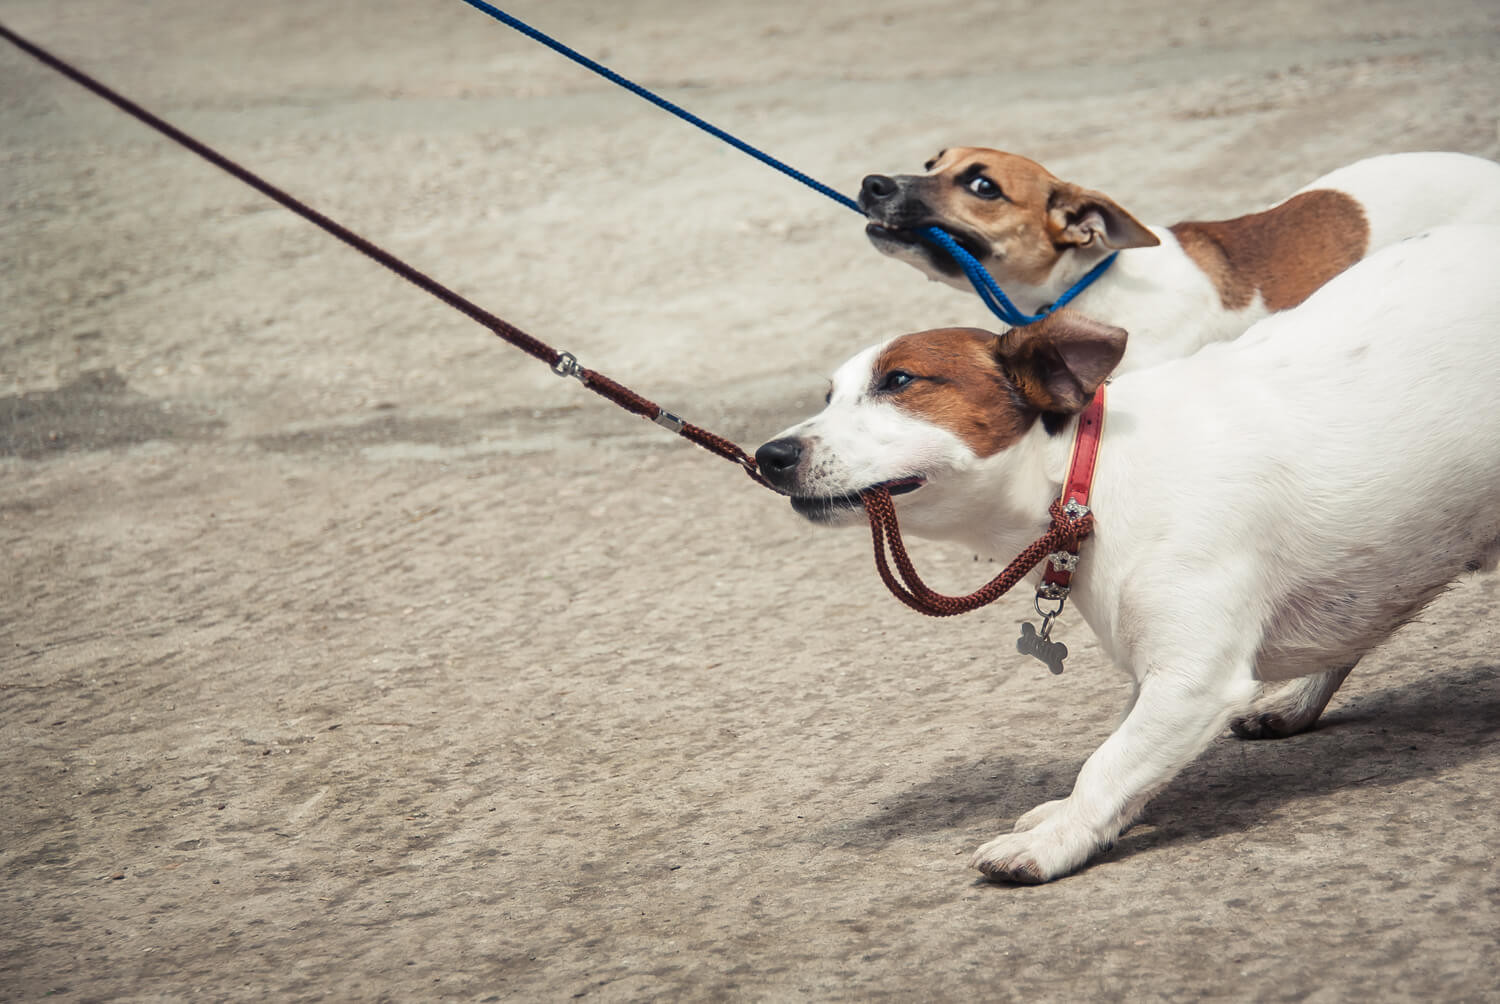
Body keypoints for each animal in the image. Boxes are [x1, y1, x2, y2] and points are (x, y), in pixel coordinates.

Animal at [756, 225, 1500, 876]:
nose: (770, 455)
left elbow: (1108, 763)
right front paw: (1073, 818)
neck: (1089, 476)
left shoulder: (1192, 677)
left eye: (901, 382)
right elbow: (1124, 761)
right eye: (829, 395)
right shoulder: (1156, 672)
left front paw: (1053, 842)